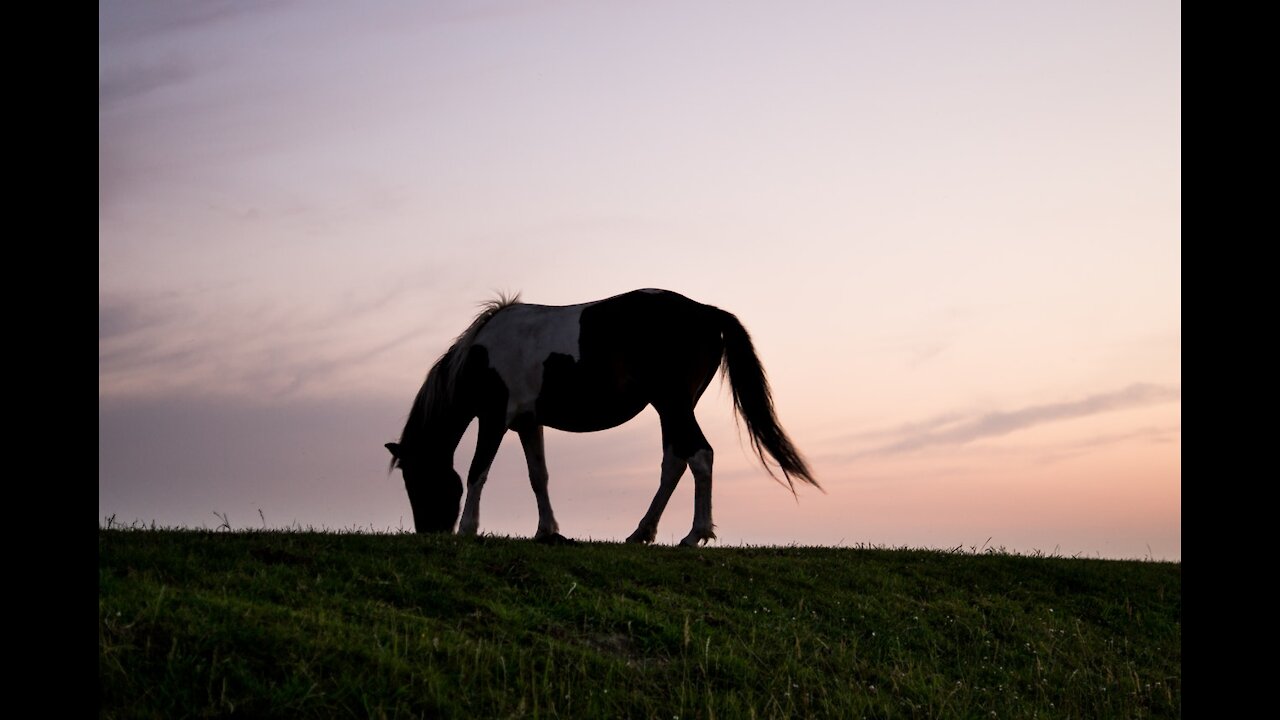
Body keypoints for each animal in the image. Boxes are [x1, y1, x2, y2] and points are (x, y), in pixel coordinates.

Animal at [381, 285, 819, 543]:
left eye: (417, 481)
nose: (429, 531)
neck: (481, 356)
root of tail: (707, 312)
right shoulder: (527, 423)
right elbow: (538, 476)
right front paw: (548, 531)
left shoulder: (494, 418)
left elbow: (478, 471)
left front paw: (469, 529)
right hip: (672, 409)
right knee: (675, 461)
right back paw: (642, 532)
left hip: (674, 404)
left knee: (699, 456)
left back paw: (695, 534)